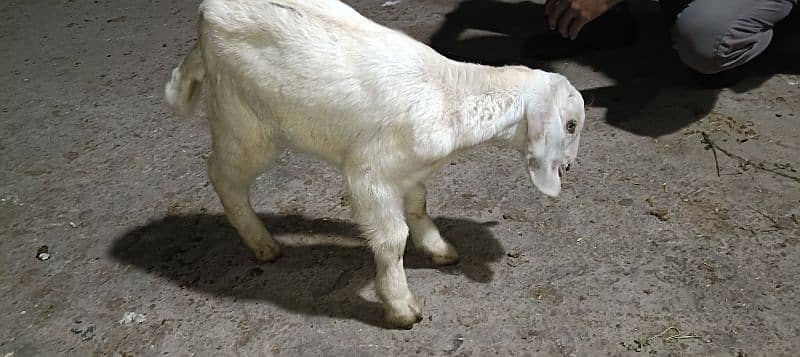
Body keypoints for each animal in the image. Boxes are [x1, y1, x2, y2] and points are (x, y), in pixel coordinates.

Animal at [166, 0, 584, 326]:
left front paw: (438, 248)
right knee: (223, 177)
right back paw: (262, 243)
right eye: (571, 125)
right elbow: (392, 239)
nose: (568, 168)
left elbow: (418, 206)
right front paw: (401, 306)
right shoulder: (370, 175)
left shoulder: (410, 170)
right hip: (245, 124)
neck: (449, 94)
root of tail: (206, 15)